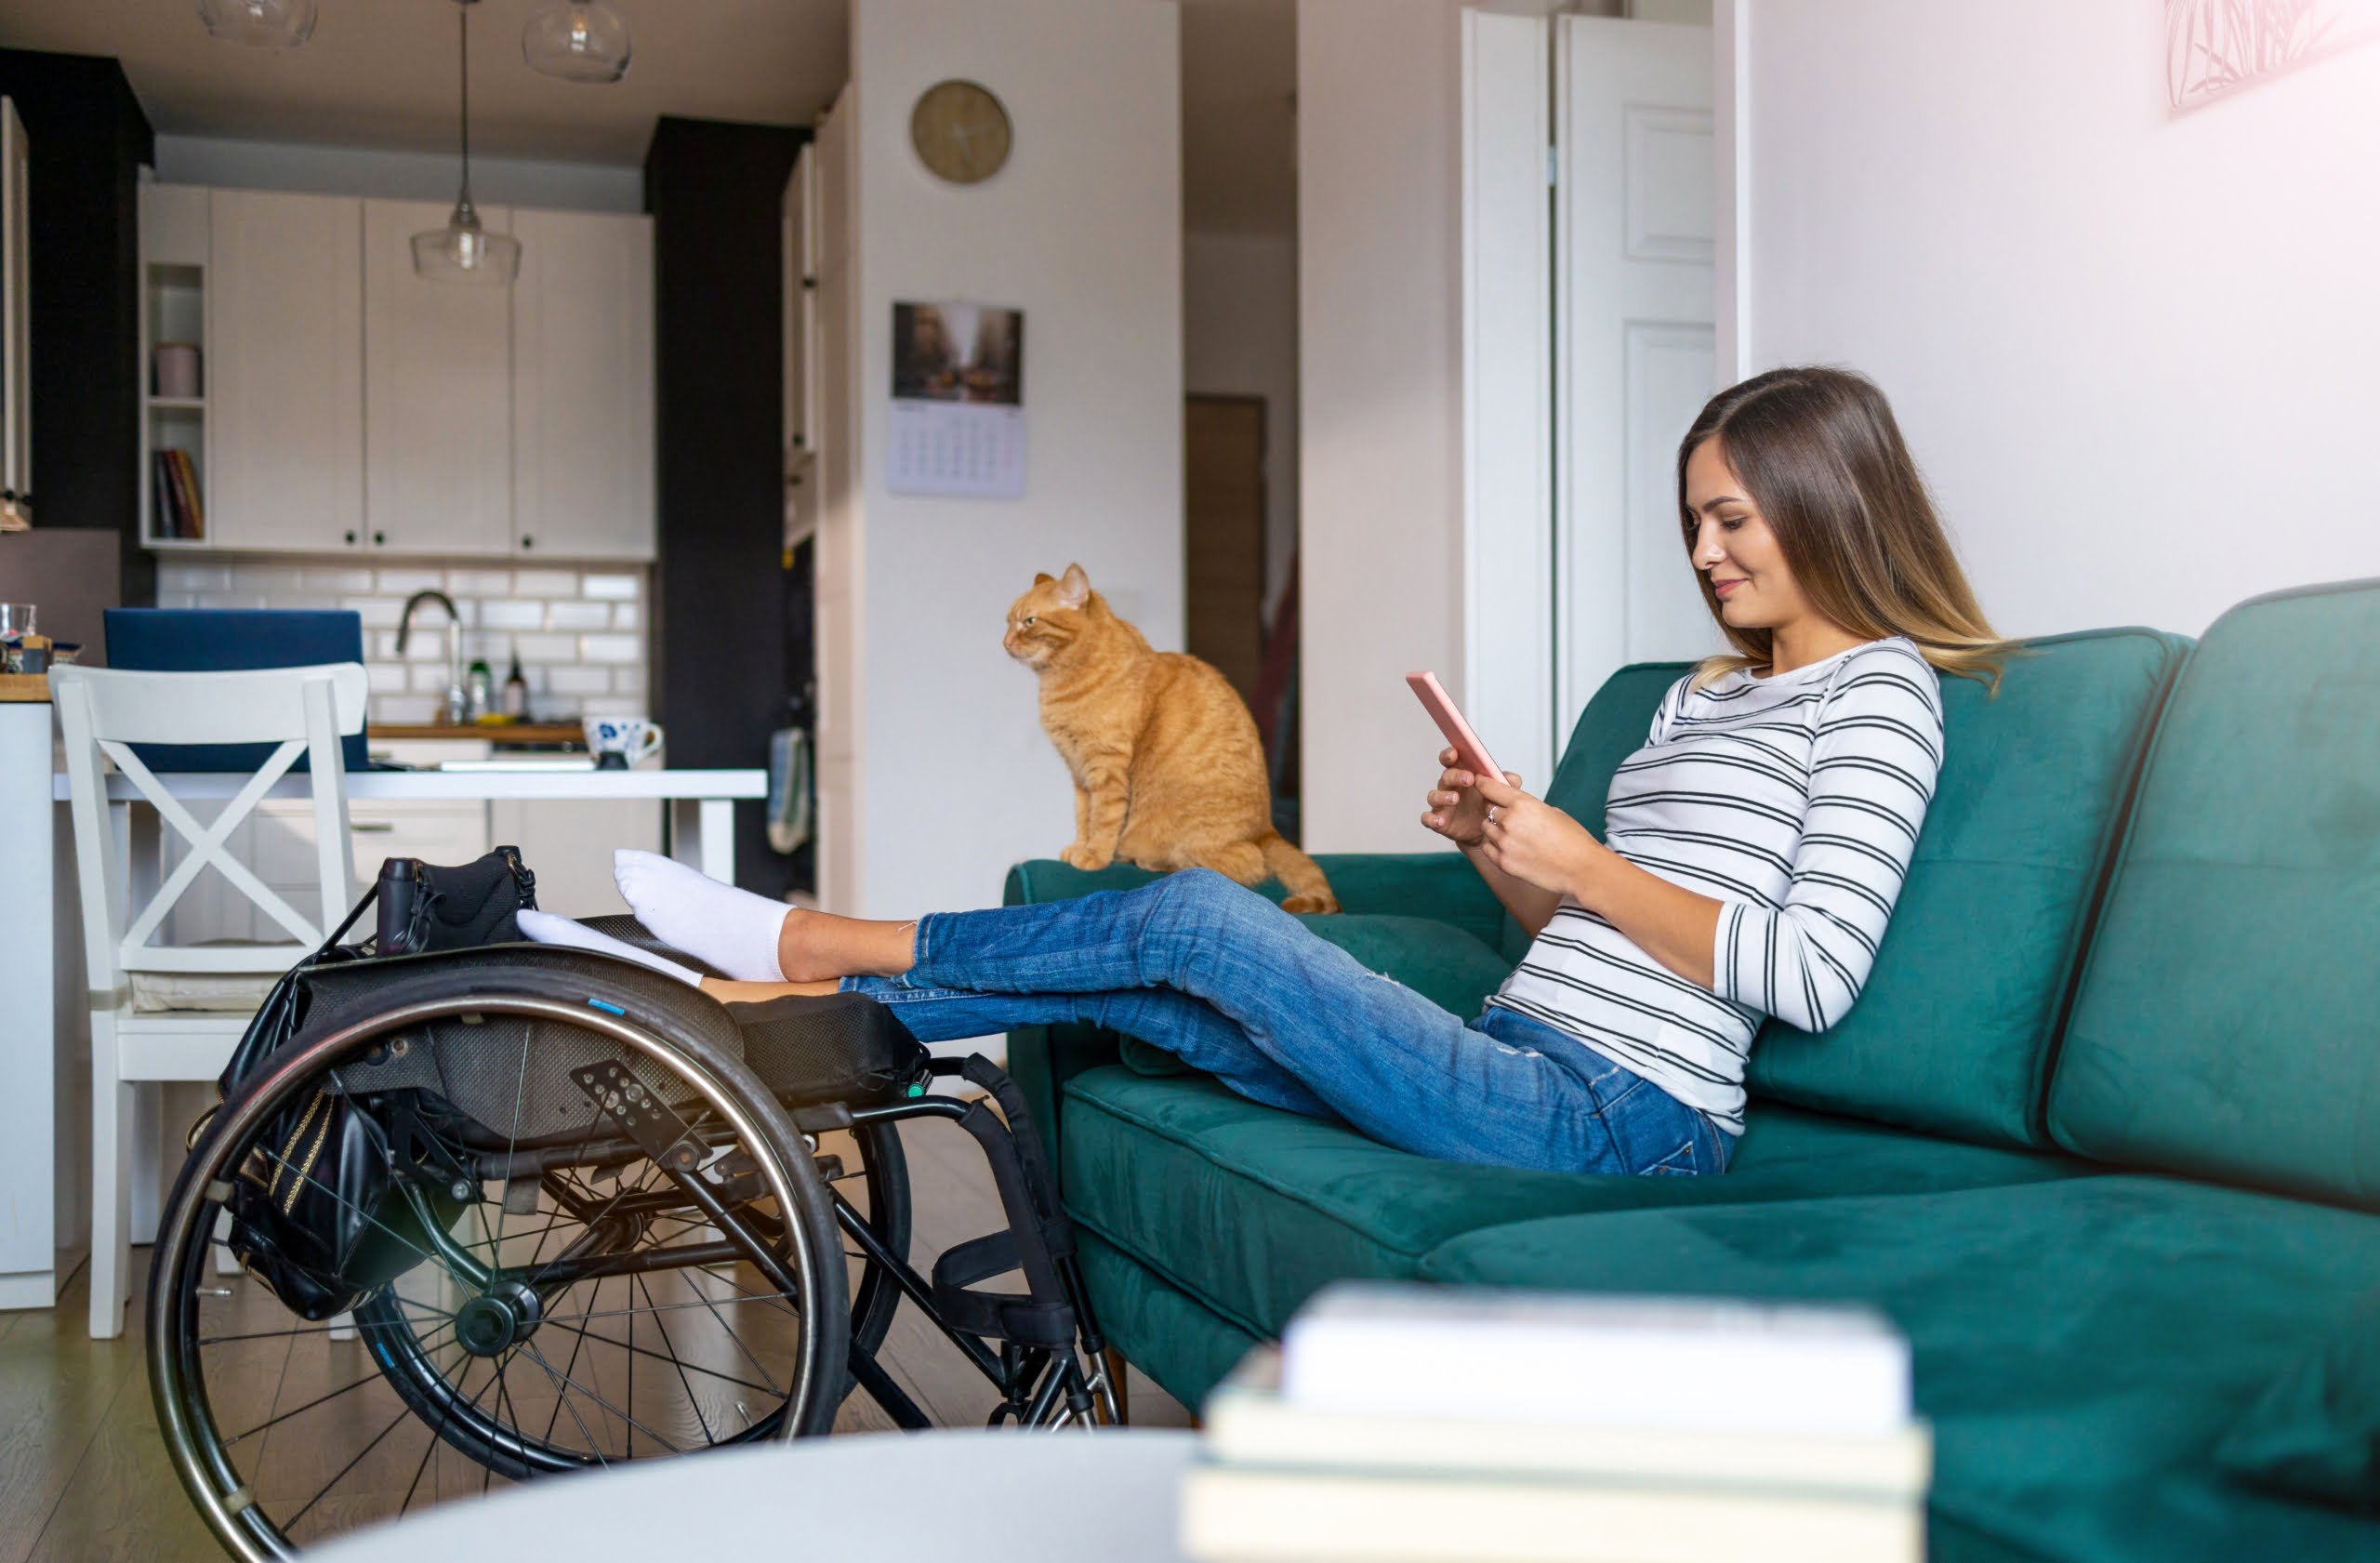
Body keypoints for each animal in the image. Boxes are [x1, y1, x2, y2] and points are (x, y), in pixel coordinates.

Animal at [1004, 563, 1342, 913]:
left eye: (1029, 622)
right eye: (1008, 622)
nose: (1005, 642)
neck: (1060, 679)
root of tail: (1266, 828)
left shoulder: (1106, 768)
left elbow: (1103, 819)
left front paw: (1095, 855)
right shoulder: (1080, 773)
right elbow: (1084, 817)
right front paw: (1081, 847)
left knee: (1242, 866)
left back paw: (1156, 861)